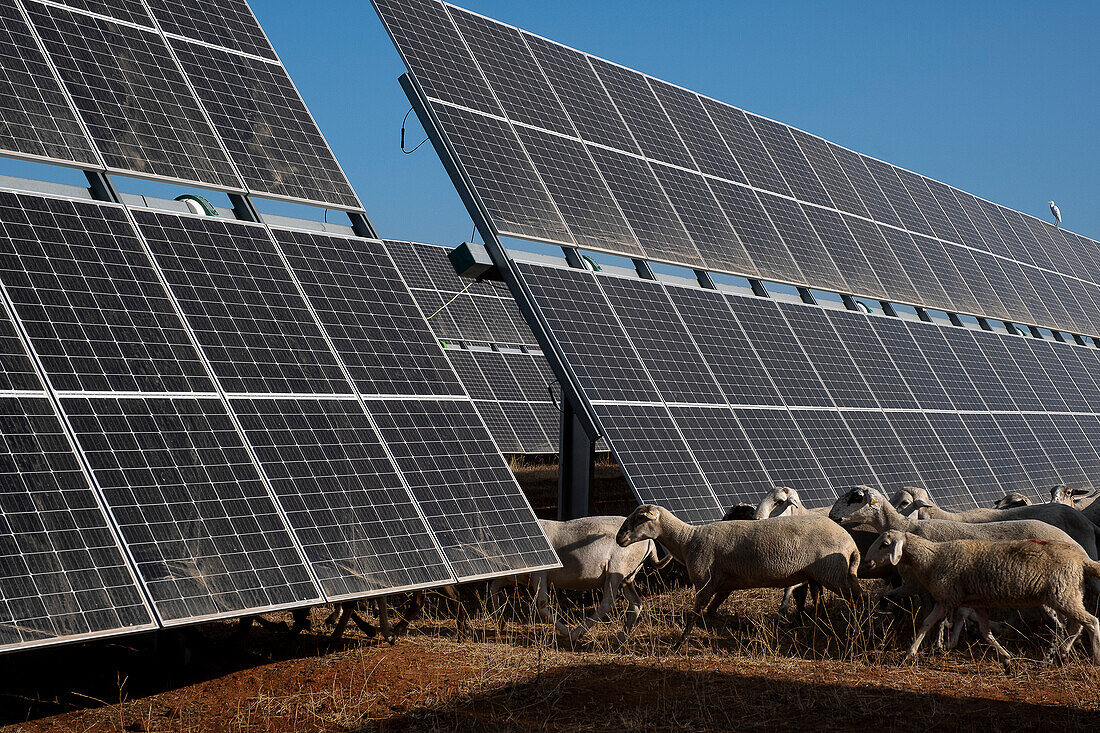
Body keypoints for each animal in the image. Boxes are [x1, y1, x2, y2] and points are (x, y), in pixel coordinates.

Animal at [490, 512, 668, 638]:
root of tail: (650, 542)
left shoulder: (539, 574)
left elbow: (541, 605)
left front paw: (567, 632)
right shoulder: (514, 576)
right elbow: (494, 587)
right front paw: (499, 622)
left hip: (616, 571)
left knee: (607, 603)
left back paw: (577, 633)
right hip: (627, 577)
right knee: (636, 603)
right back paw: (620, 638)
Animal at [620, 501, 858, 651]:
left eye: (640, 518)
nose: (619, 538)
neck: (687, 540)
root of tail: (850, 542)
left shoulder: (704, 584)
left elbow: (694, 616)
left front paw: (679, 644)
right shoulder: (724, 586)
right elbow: (712, 612)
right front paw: (738, 627)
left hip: (834, 574)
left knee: (857, 600)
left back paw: (855, 632)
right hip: (820, 575)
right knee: (818, 599)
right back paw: (817, 628)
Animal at [862, 526, 1100, 669]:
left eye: (884, 545)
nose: (867, 562)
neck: (932, 558)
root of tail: (1082, 559)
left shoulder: (946, 598)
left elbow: (927, 623)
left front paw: (909, 653)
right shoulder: (978, 603)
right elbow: (986, 632)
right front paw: (1006, 658)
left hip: (1063, 595)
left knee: (1091, 622)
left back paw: (1093, 657)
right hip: (1069, 593)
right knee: (1077, 625)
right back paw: (1063, 652)